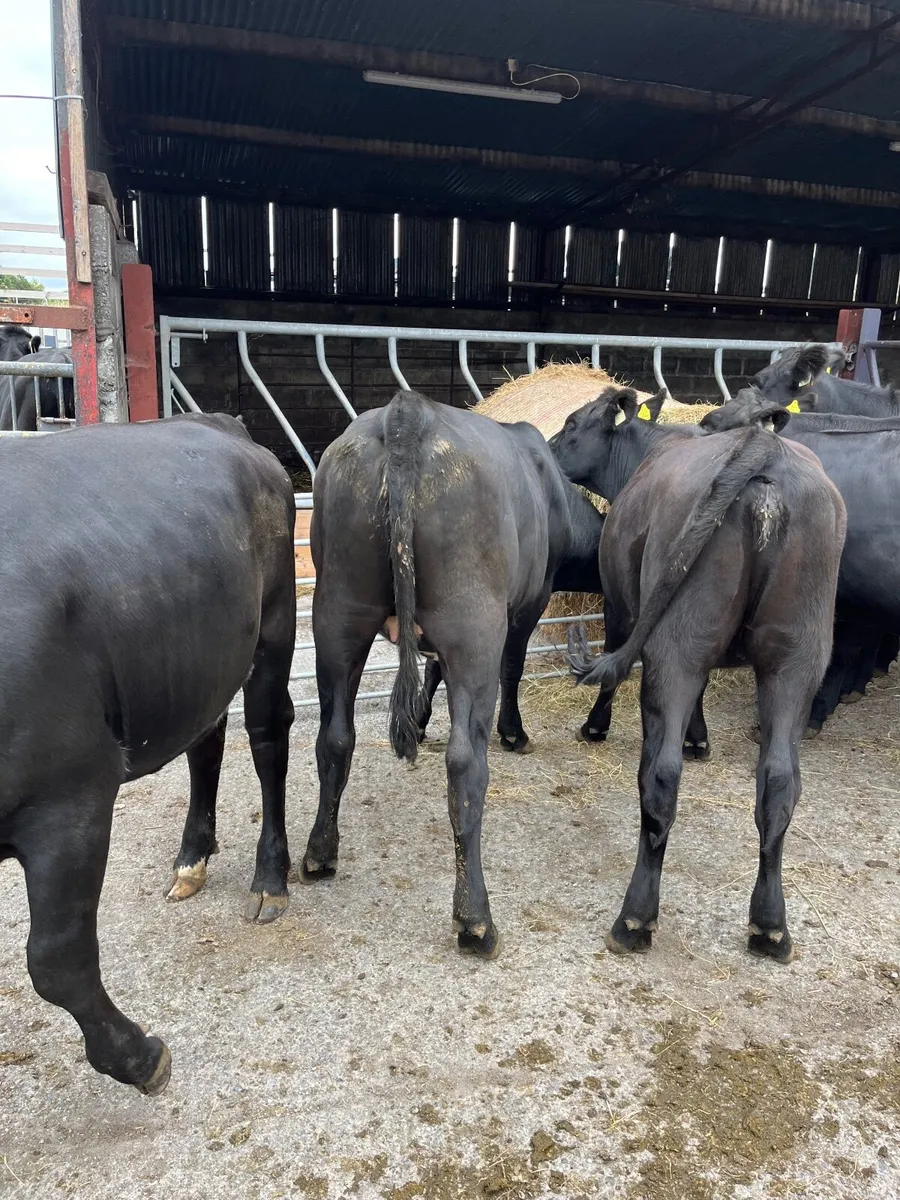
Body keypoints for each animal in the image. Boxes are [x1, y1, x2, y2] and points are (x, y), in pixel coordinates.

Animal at [0, 413, 296, 1093]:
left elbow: (57, 961)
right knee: (207, 743)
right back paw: (191, 860)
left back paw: (271, 877)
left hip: (273, 624)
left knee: (268, 737)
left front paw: (138, 1056)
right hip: (201, 660)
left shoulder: (69, 796)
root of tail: (218, 422)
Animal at [303, 389, 605, 958]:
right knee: (466, 763)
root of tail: (408, 412)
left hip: (336, 613)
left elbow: (430, 670)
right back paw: (475, 919)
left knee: (334, 737)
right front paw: (514, 733)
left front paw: (421, 721)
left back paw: (319, 853)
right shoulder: (527, 603)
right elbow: (511, 667)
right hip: (474, 625)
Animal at [556, 388, 846, 963]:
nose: (550, 449)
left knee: (660, 776)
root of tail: (763, 449)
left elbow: (615, 671)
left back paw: (634, 919)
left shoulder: (621, 606)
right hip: (797, 656)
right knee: (780, 780)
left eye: (573, 423)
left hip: (677, 641)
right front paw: (700, 738)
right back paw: (770, 928)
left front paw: (596, 727)